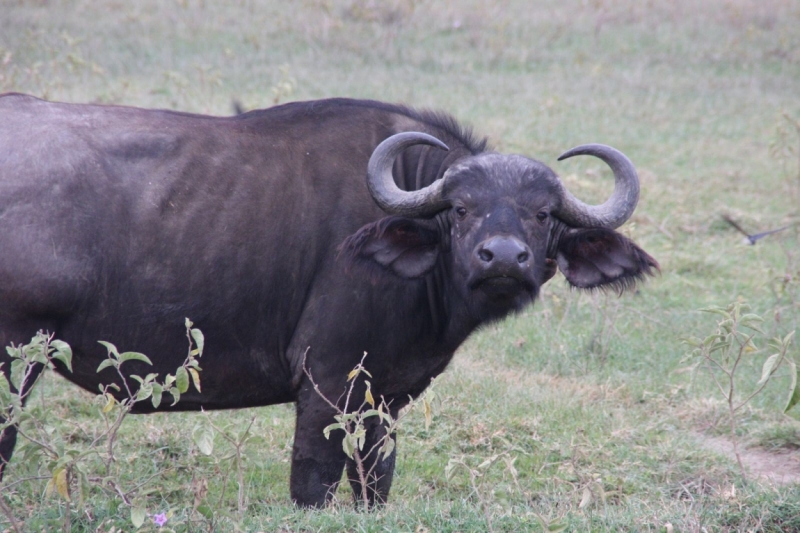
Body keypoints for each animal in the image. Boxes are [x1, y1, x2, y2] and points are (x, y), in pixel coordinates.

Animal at [1, 94, 656, 508]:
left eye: (542, 214)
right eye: (460, 208)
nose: (503, 259)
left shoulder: (385, 398)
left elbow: (375, 482)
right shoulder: (325, 384)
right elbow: (313, 483)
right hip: (16, 356)